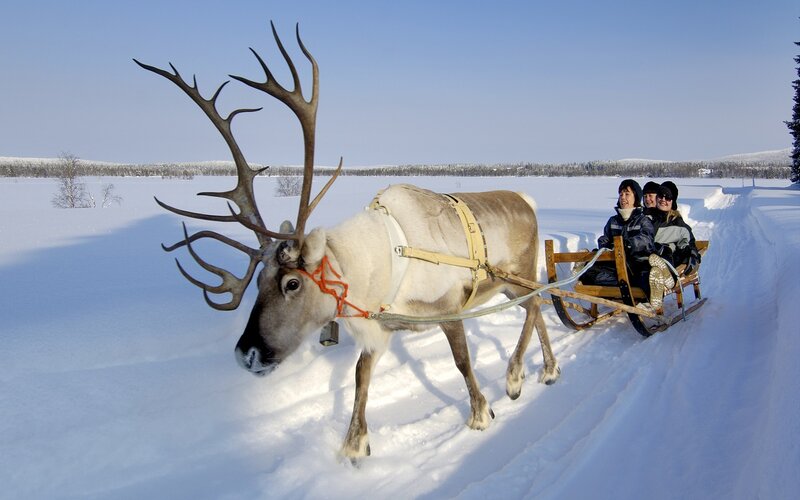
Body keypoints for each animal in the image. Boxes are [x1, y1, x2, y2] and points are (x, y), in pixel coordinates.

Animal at [134, 22, 560, 462]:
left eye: (292, 283)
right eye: (258, 281)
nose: (246, 354)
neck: (383, 263)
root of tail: (526, 199)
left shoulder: (447, 308)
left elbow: (461, 361)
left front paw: (479, 413)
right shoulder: (380, 326)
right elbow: (360, 374)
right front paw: (354, 443)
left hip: (517, 276)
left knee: (536, 304)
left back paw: (515, 377)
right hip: (511, 284)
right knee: (541, 306)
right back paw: (548, 369)